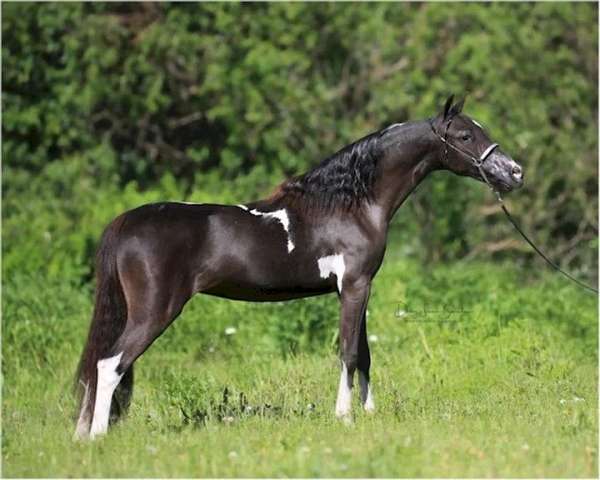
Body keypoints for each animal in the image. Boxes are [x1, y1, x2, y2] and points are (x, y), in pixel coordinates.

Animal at [75, 94, 524, 438]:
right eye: (465, 135)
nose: (514, 173)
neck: (350, 205)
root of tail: (126, 221)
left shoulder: (357, 288)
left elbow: (364, 354)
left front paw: (370, 414)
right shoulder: (355, 285)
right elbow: (348, 352)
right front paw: (344, 417)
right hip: (155, 311)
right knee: (110, 364)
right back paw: (97, 436)